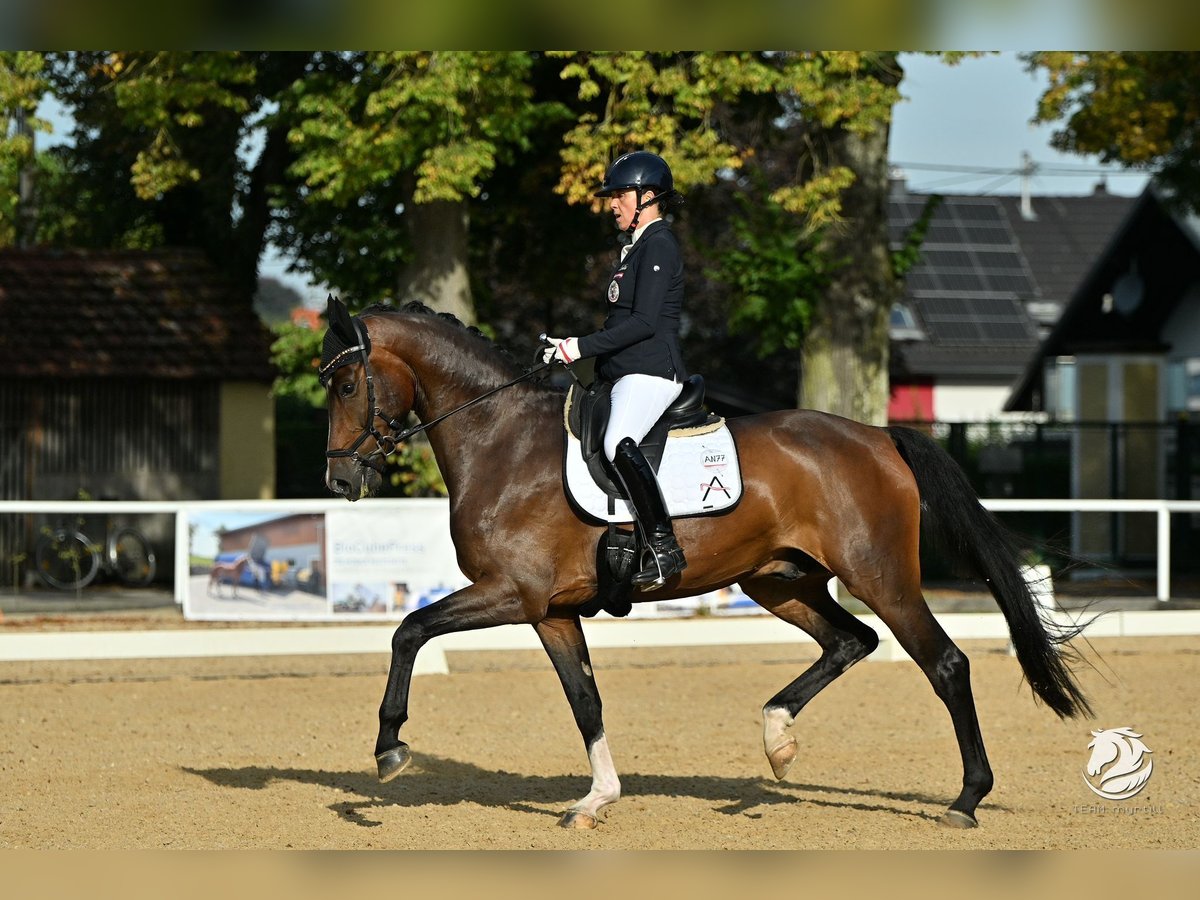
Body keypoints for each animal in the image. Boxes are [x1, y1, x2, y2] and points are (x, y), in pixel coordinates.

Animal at [324, 300, 1094, 835]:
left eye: (347, 385)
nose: (339, 481)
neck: (500, 439)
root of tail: (877, 437)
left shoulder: (512, 593)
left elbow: (409, 630)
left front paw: (390, 748)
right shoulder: (552, 610)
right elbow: (585, 700)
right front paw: (596, 800)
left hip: (881, 577)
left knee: (944, 664)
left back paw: (966, 798)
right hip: (779, 579)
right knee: (850, 640)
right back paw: (778, 740)